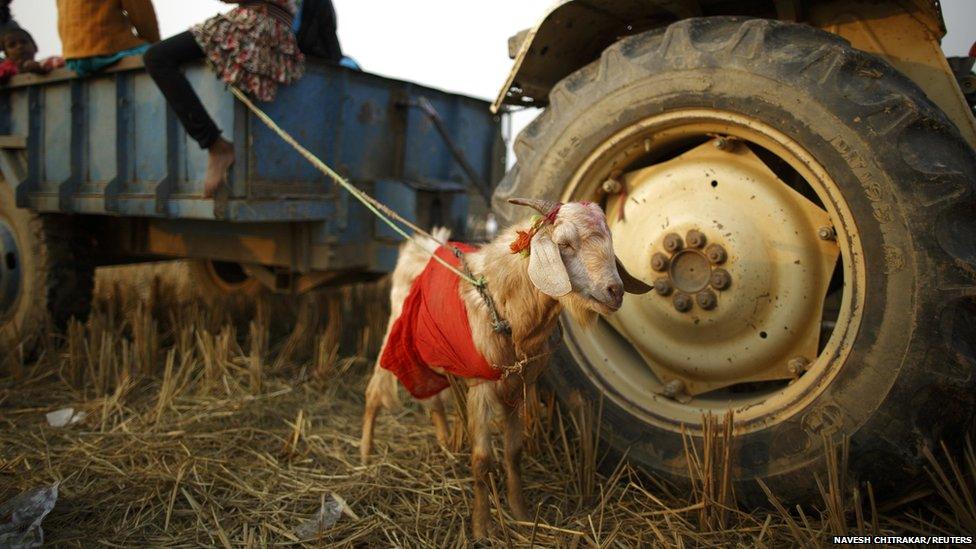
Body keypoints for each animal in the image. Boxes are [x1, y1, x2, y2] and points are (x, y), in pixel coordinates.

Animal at [358, 196, 648, 536]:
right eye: (565, 244)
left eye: (610, 241)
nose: (615, 291)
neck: (503, 298)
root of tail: (419, 247)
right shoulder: (481, 387)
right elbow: (482, 459)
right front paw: (481, 527)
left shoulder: (516, 389)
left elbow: (514, 452)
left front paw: (520, 513)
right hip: (394, 338)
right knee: (374, 393)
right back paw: (366, 456)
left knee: (433, 398)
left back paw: (444, 445)